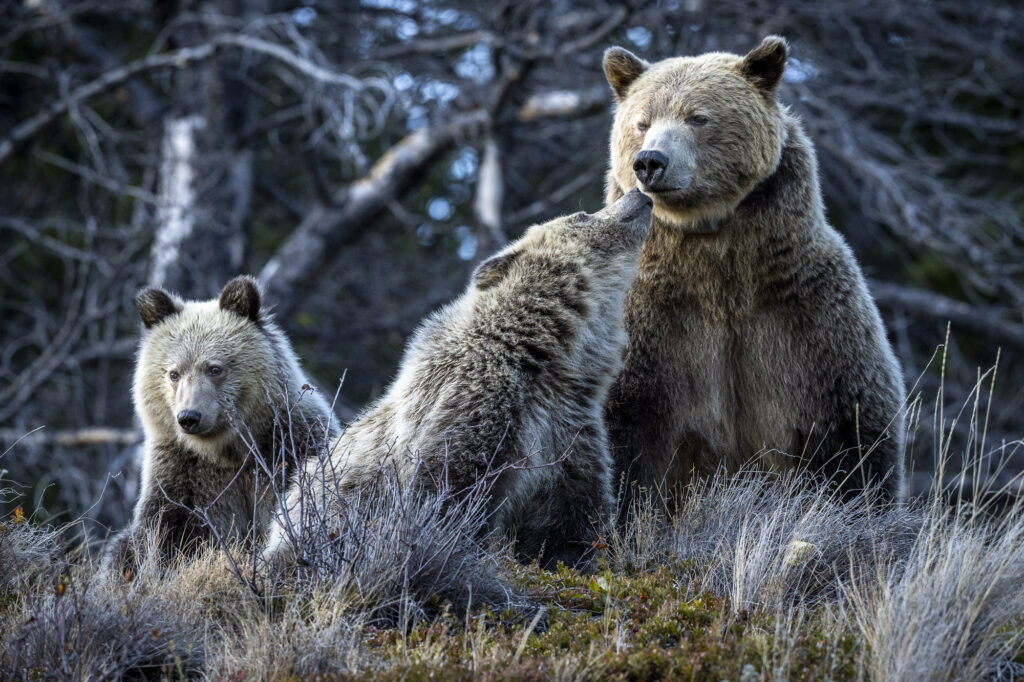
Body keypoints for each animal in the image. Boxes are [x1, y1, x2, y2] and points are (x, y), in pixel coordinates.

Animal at [105, 275, 338, 576]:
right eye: (174, 373)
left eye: (215, 368)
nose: (189, 417)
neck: (227, 450)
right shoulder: (182, 473)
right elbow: (165, 529)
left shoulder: (290, 448)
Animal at [263, 190, 654, 571]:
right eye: (581, 215)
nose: (639, 195)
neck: (553, 357)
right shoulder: (473, 406)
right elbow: (449, 492)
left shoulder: (568, 430)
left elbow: (569, 520)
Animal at [601, 36, 906, 511]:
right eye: (641, 122)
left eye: (697, 116)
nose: (651, 161)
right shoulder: (650, 320)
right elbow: (625, 427)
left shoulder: (805, 313)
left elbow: (853, 428)